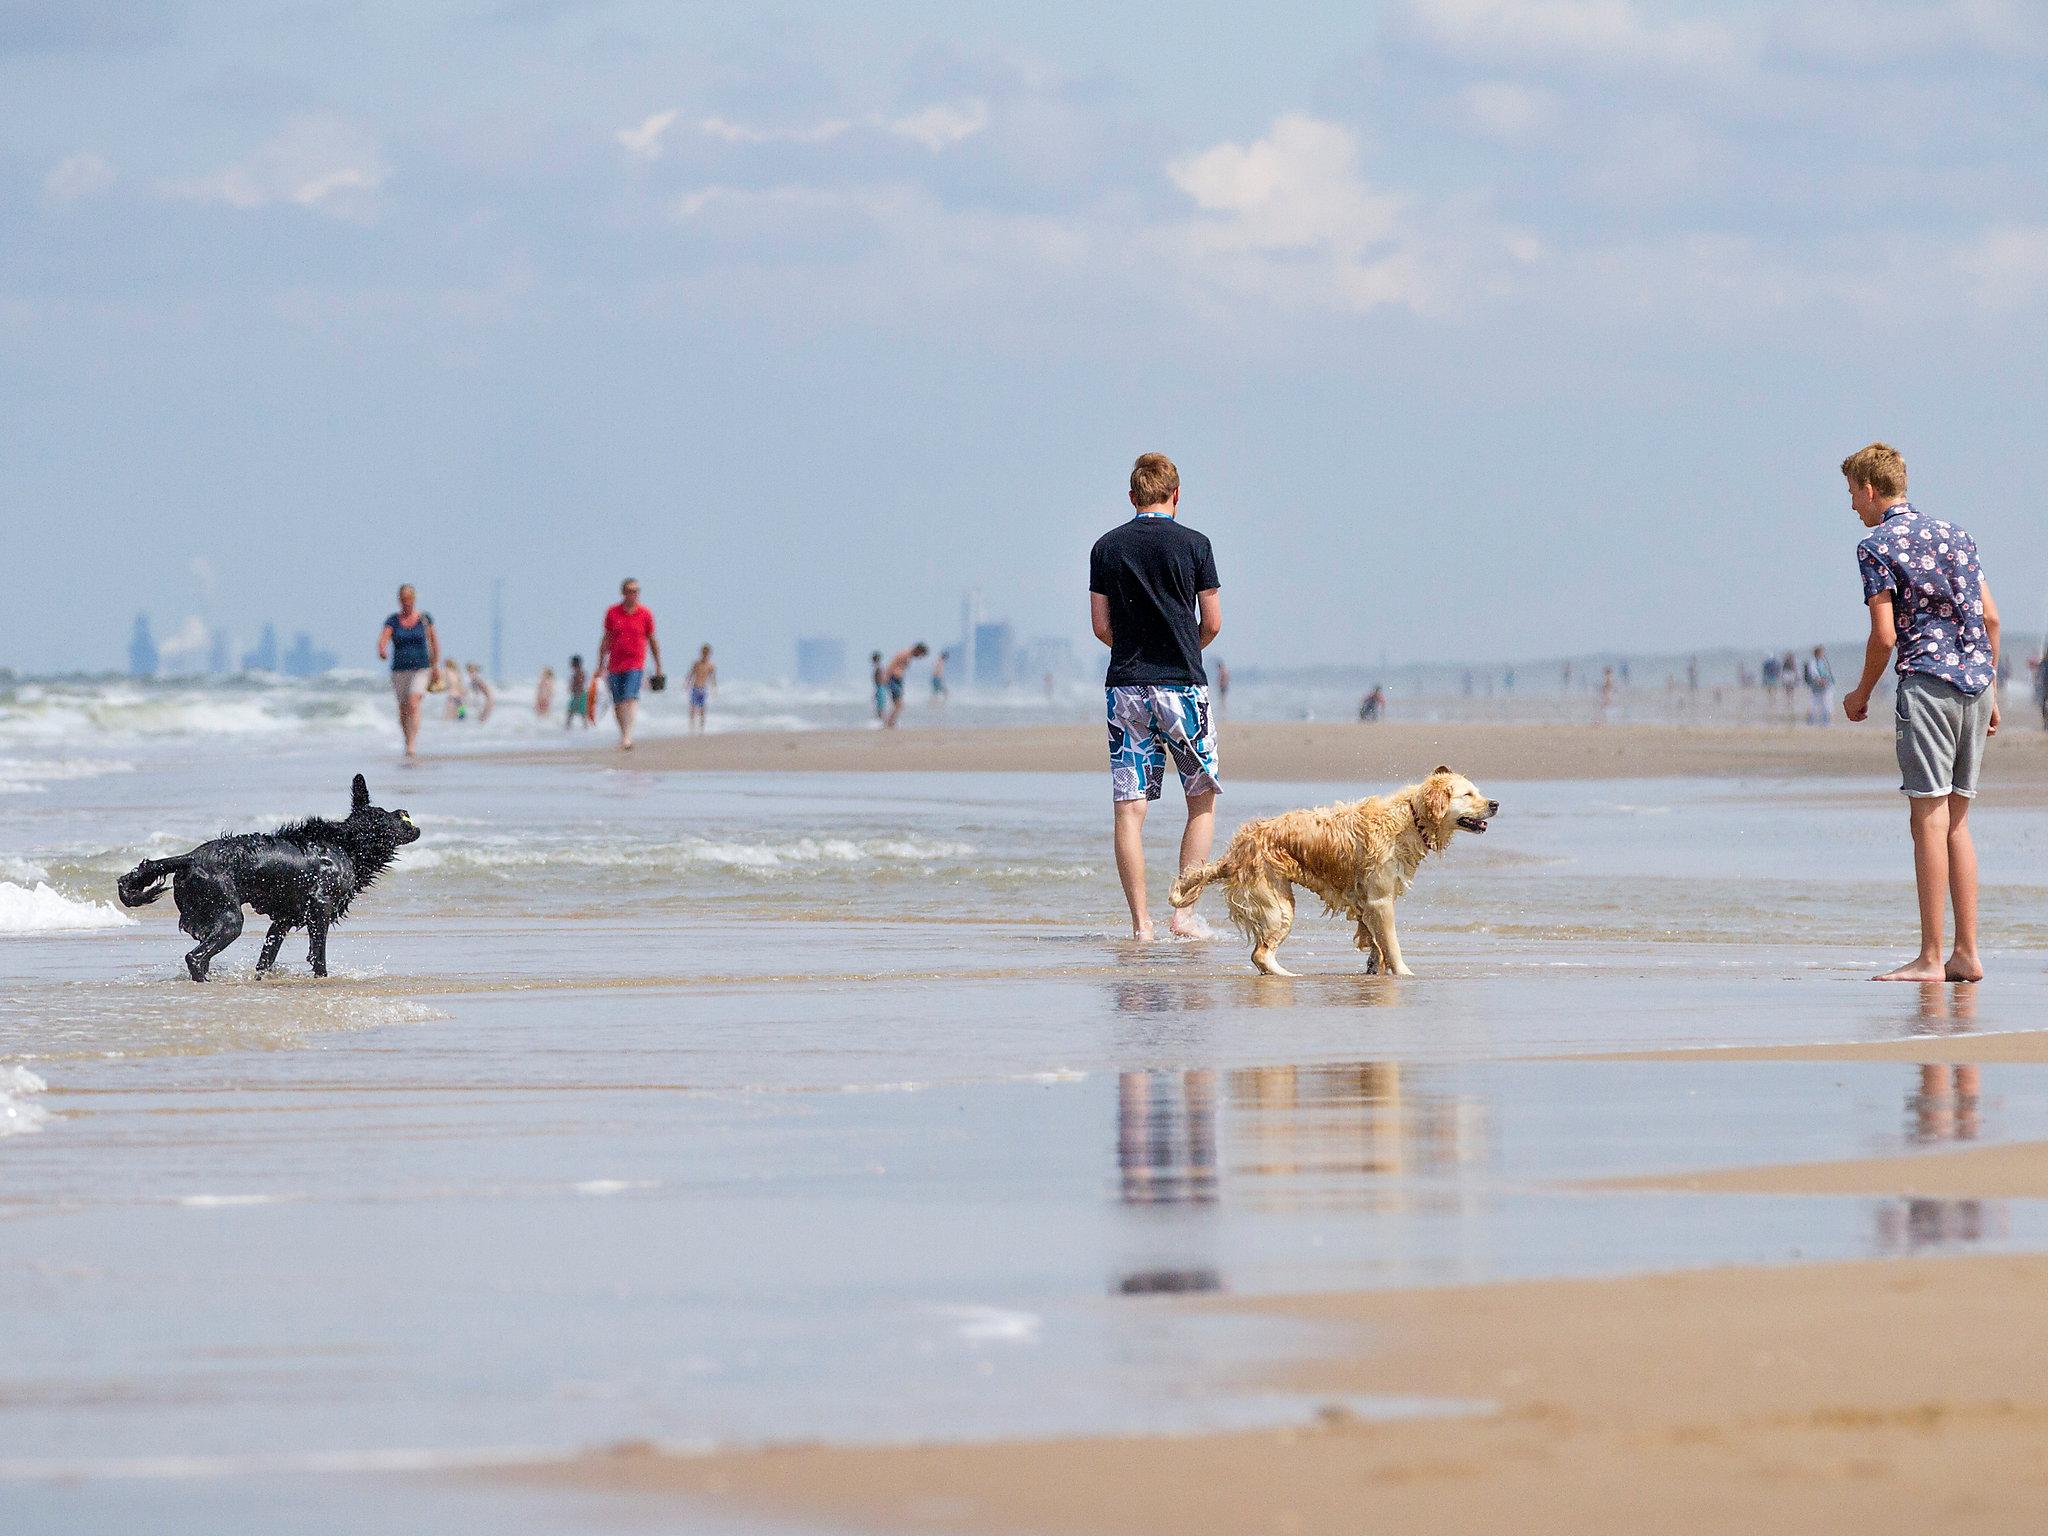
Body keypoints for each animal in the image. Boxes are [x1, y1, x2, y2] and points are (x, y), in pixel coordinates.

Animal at [116, 774, 419, 978]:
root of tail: (190, 857)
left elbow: (266, 957)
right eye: (387, 815)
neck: (346, 844)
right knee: (195, 957)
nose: (405, 810)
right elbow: (318, 954)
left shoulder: (283, 919)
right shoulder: (320, 908)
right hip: (229, 919)